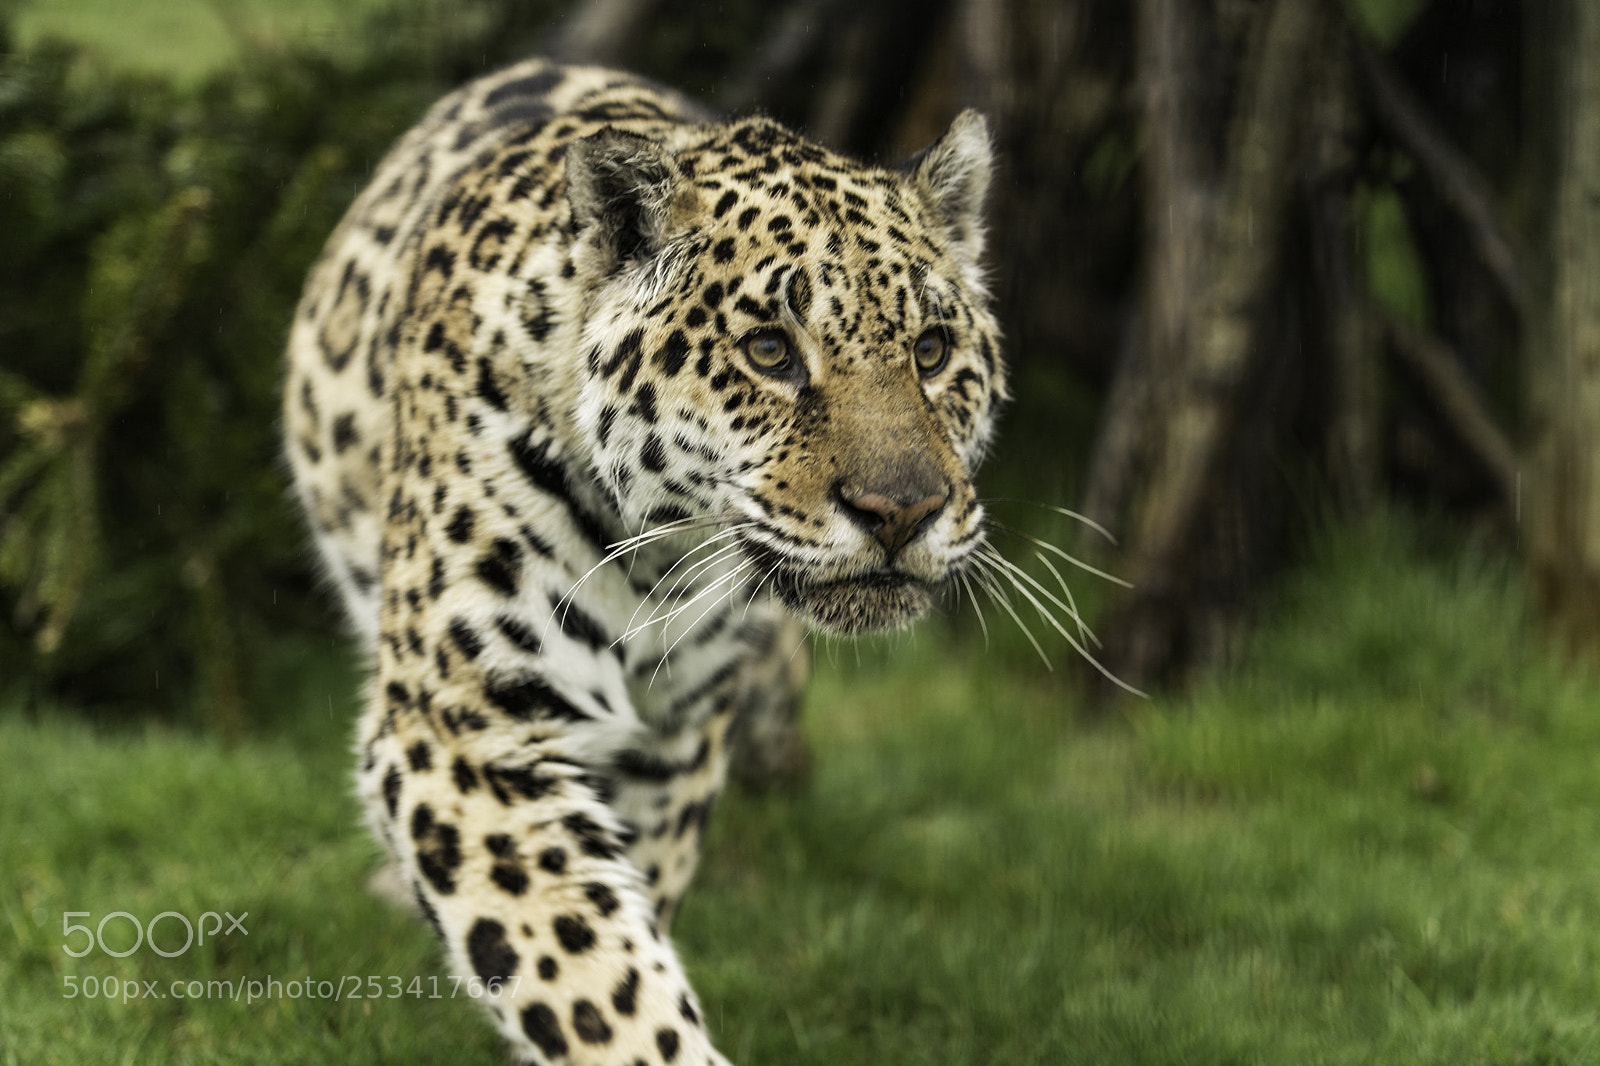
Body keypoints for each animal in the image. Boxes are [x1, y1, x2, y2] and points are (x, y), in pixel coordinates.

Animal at [283, 55, 1004, 1065]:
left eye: (932, 351)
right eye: (771, 352)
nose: (902, 512)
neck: (662, 556)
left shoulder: (674, 740)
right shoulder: (466, 729)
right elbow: (594, 980)